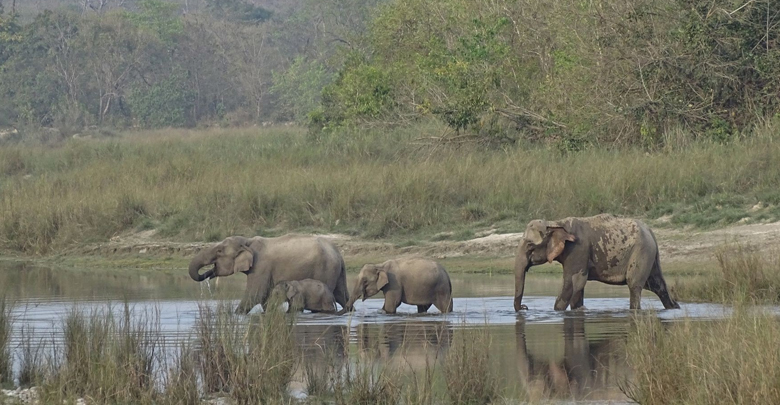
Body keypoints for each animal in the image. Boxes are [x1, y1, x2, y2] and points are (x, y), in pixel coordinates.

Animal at [189, 234, 348, 312]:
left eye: (219, 251)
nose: (209, 274)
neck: (247, 241)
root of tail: (338, 253)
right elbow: (265, 299)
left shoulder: (261, 266)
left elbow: (255, 295)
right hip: (336, 271)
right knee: (343, 296)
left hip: (325, 270)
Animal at [512, 213, 676, 310]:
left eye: (530, 245)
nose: (525, 307)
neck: (556, 223)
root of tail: (650, 231)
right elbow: (578, 287)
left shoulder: (578, 250)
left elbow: (572, 283)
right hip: (650, 255)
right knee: (659, 286)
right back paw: (674, 308)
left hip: (642, 252)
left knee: (634, 285)